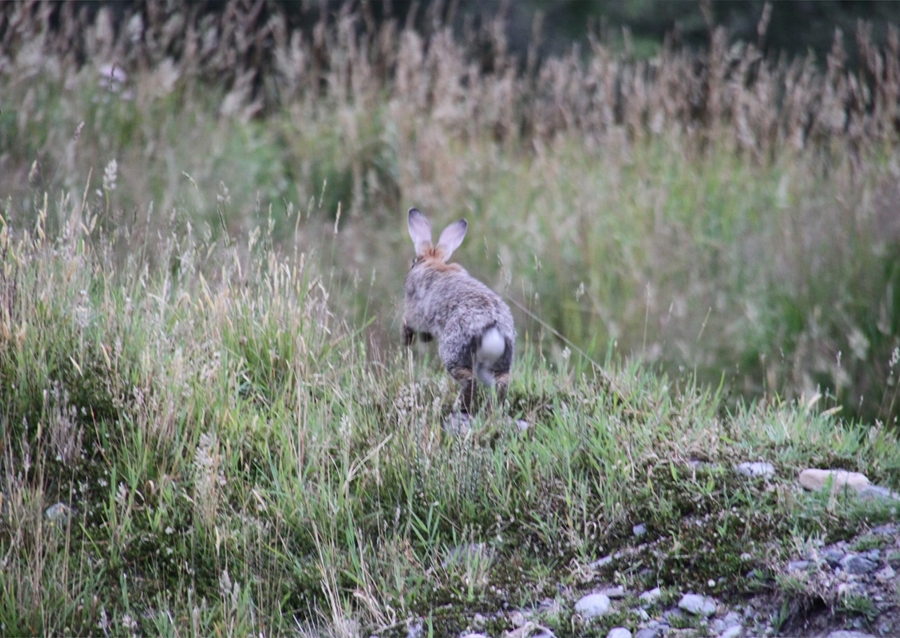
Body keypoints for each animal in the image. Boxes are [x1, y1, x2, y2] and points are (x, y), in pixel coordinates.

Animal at [403, 207, 515, 414]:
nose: (412, 264)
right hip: (495, 363)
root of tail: (493, 328)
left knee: (469, 381)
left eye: (413, 262)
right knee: (501, 382)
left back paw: (458, 408)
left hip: (454, 351)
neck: (434, 263)